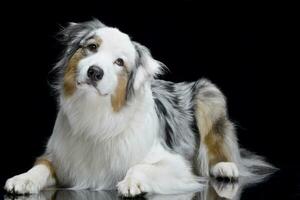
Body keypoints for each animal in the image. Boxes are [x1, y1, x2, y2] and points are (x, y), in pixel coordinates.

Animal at [3, 19, 274, 197]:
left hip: (209, 94)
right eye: (92, 47)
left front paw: (131, 183)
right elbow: (40, 166)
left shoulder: (176, 165)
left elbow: (140, 165)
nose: (95, 72)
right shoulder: (57, 156)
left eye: (119, 62)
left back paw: (225, 167)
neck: (95, 114)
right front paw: (23, 179)